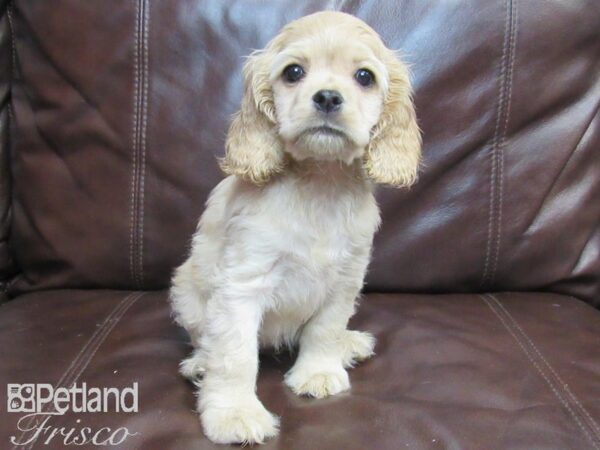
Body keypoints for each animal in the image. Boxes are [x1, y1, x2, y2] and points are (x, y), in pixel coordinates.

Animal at [169, 11, 422, 446]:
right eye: (294, 72)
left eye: (364, 76)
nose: (327, 97)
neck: (320, 181)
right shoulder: (242, 285)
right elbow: (234, 355)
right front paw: (234, 413)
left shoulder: (345, 280)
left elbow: (324, 329)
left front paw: (318, 371)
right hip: (186, 292)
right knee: (205, 340)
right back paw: (200, 363)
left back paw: (348, 344)